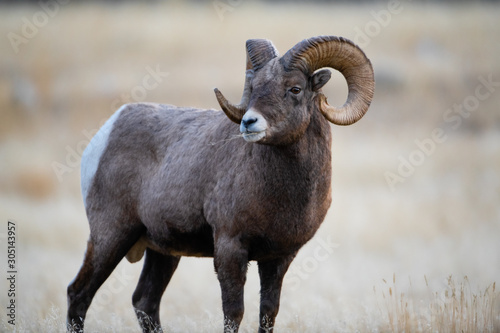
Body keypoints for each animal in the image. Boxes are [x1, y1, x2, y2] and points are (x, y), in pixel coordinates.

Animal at [68, 35, 376, 330]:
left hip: (161, 252)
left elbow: (268, 313)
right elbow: (234, 313)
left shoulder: (278, 259)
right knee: (79, 294)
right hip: (111, 236)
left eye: (295, 89)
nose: (249, 122)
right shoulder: (230, 249)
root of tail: (106, 132)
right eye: (254, 87)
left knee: (145, 302)